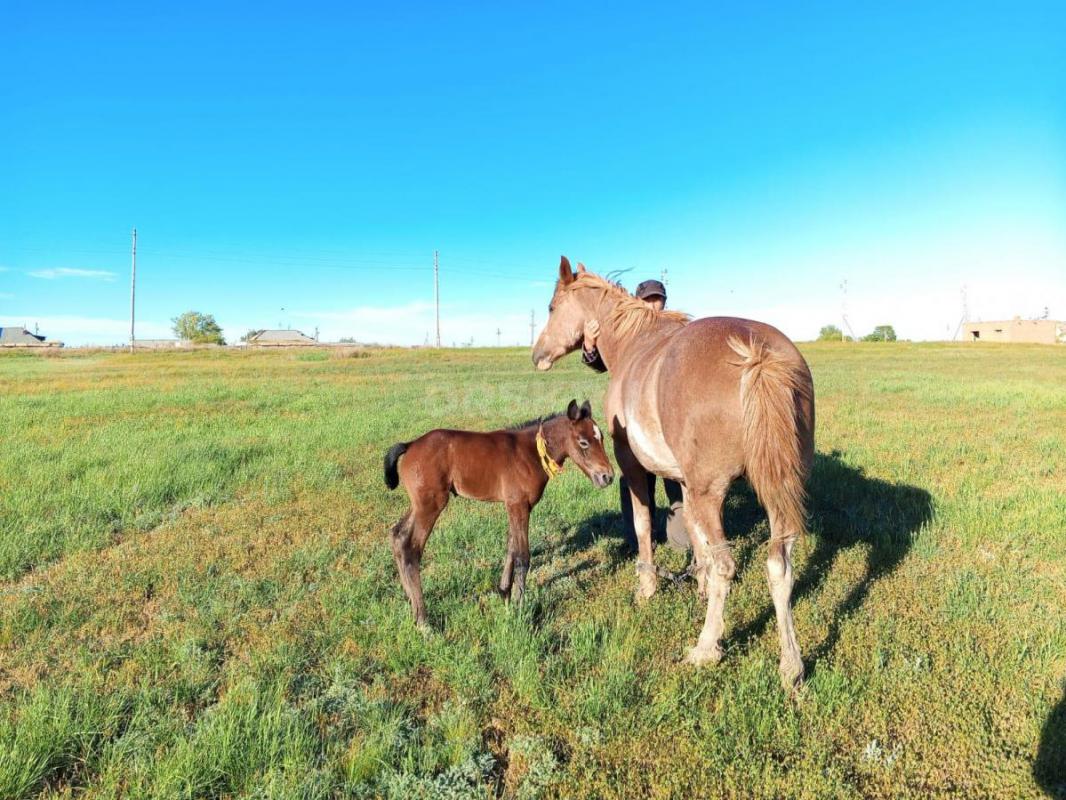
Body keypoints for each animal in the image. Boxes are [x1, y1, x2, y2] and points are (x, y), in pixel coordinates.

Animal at [388, 398, 614, 631]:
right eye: (583, 442)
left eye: (602, 438)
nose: (607, 476)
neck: (531, 453)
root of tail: (410, 445)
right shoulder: (518, 505)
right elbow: (523, 556)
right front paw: (519, 608)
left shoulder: (517, 506)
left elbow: (511, 547)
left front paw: (504, 592)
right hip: (431, 505)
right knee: (411, 548)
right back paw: (424, 621)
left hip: (419, 505)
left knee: (397, 536)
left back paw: (411, 603)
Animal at [533, 260, 814, 691]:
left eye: (550, 307)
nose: (537, 355)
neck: (633, 344)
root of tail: (757, 355)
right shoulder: (685, 481)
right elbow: (695, 535)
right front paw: (698, 583)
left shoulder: (633, 468)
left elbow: (644, 524)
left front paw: (647, 587)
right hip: (776, 493)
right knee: (778, 566)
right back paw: (791, 666)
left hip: (713, 492)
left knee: (727, 565)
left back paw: (705, 648)